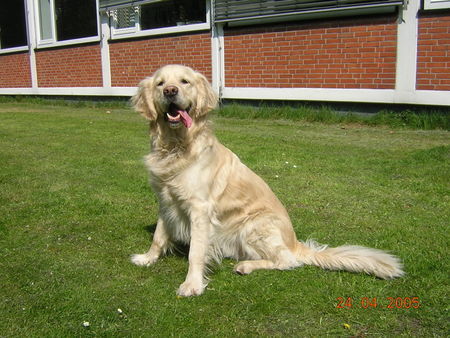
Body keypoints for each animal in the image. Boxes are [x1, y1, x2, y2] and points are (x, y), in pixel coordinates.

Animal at [131, 64, 404, 298]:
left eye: (184, 82)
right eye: (160, 83)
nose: (170, 91)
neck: (175, 147)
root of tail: (294, 243)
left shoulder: (199, 209)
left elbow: (195, 252)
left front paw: (192, 284)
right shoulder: (166, 201)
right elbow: (159, 235)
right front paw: (147, 258)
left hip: (255, 225)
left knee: (287, 261)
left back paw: (247, 266)